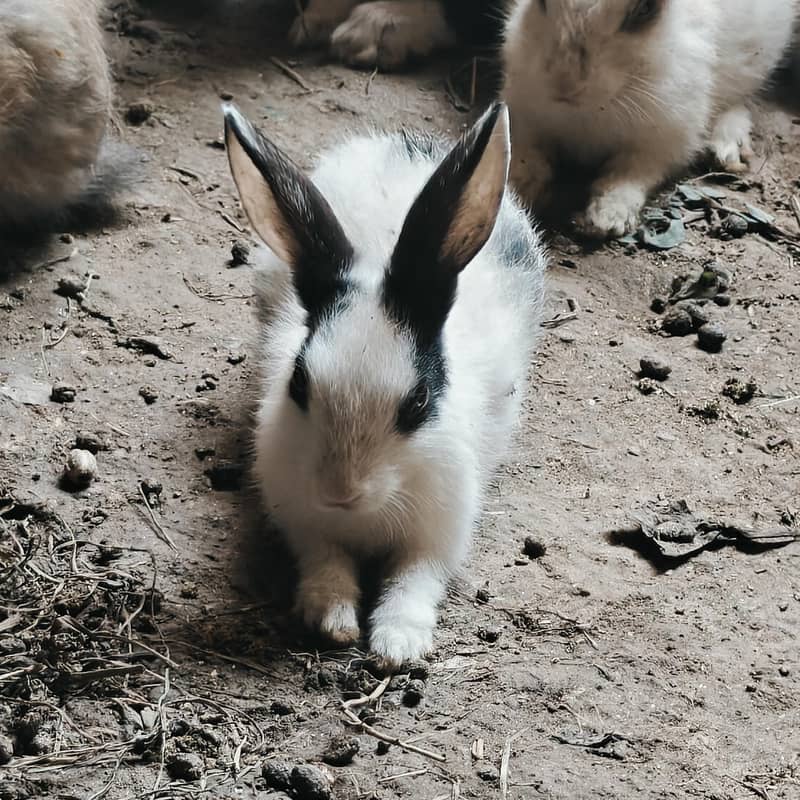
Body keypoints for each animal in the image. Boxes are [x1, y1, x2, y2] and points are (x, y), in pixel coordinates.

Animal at [223, 101, 546, 666]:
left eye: (417, 402)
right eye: (299, 383)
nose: (339, 492)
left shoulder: (437, 533)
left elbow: (415, 581)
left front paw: (398, 645)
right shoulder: (304, 523)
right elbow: (326, 564)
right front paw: (333, 620)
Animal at [502, 0, 800, 239]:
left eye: (645, 8)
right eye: (541, 2)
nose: (565, 84)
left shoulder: (661, 143)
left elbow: (628, 175)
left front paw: (607, 219)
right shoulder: (524, 120)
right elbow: (527, 157)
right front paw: (516, 191)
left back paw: (727, 148)